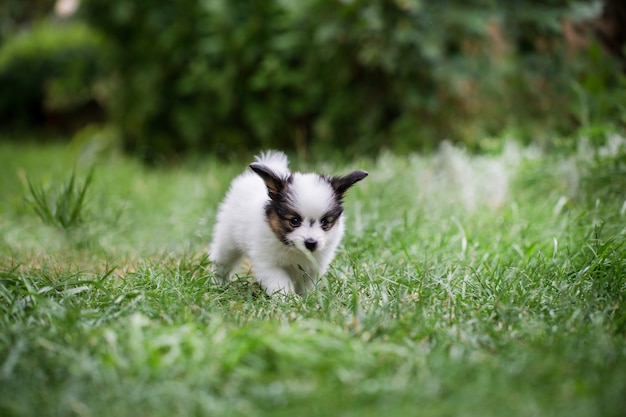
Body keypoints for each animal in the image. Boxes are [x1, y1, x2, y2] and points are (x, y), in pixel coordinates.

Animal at [210, 151, 366, 294]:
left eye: (325, 223)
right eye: (294, 221)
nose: (311, 243)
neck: (294, 250)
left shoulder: (313, 266)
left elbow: (307, 284)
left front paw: (306, 298)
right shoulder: (268, 264)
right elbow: (279, 283)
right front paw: (288, 300)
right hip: (227, 240)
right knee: (222, 260)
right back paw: (218, 283)